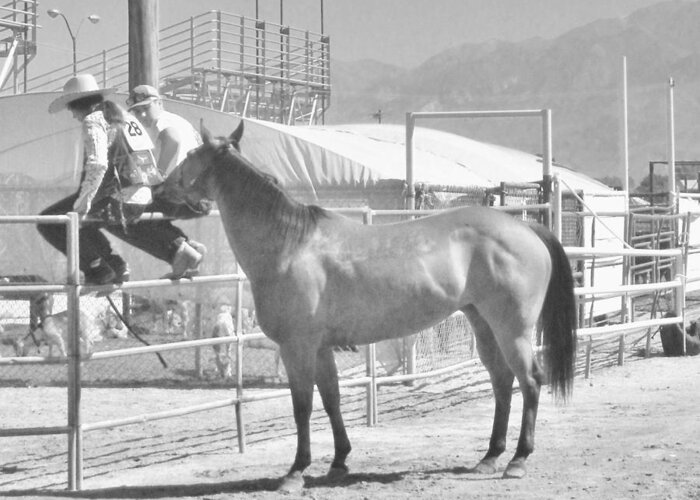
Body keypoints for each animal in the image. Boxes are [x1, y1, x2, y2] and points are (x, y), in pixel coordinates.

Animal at [161, 124, 576, 492]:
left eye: (190, 154)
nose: (159, 190)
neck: (290, 244)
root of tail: (525, 229)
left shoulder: (297, 347)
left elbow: (302, 407)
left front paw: (296, 472)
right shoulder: (321, 348)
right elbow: (331, 400)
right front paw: (339, 462)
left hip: (513, 329)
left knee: (530, 381)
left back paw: (518, 460)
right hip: (483, 323)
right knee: (502, 382)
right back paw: (489, 456)